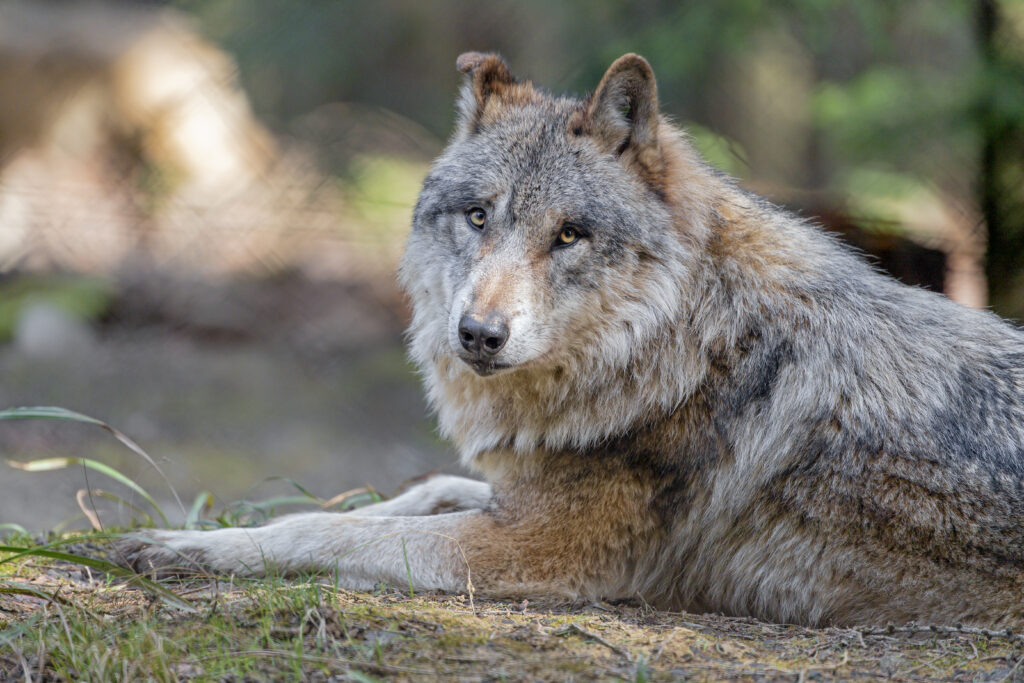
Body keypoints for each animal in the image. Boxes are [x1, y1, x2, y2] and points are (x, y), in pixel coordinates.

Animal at [120, 52, 1024, 628]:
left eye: (568, 236)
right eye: (478, 217)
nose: (478, 334)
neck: (682, 340)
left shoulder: (533, 551)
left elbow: (329, 532)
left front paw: (193, 549)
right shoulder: (514, 497)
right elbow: (415, 491)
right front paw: (192, 533)